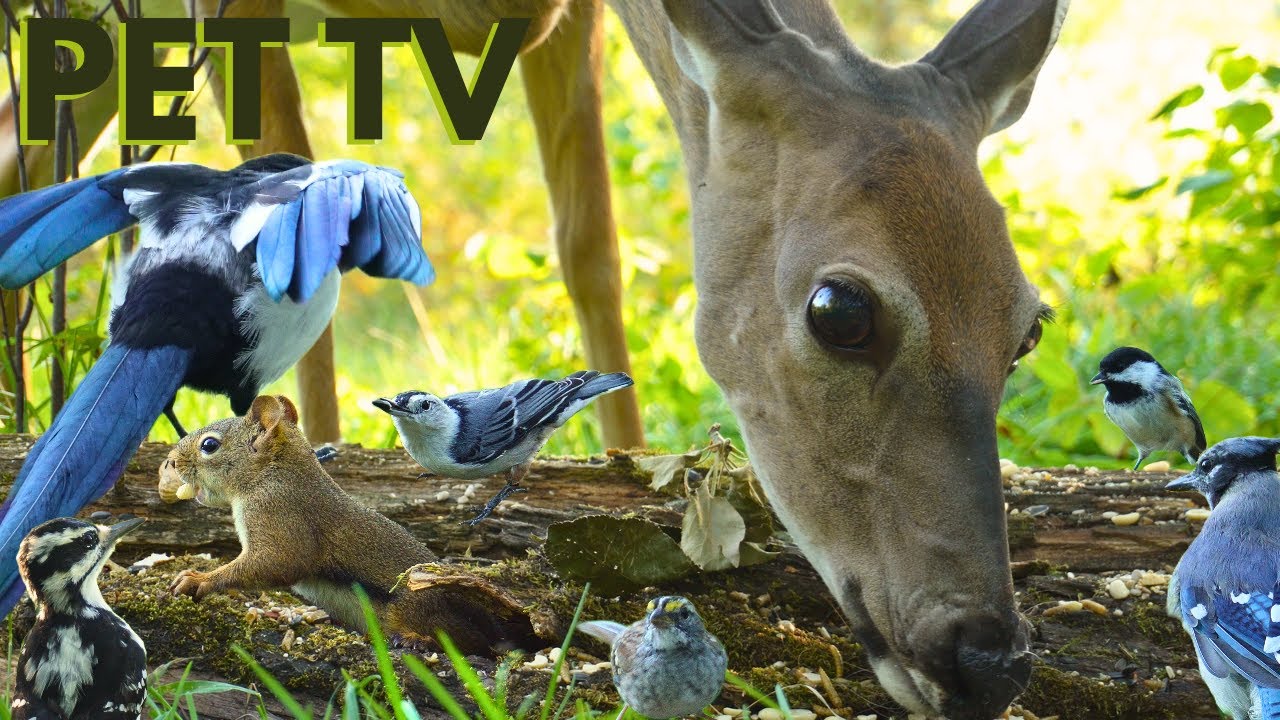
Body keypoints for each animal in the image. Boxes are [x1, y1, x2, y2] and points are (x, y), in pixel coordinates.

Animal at [158, 394, 535, 655]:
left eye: (209, 445)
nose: (171, 462)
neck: (272, 473)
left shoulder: (278, 514)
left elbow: (279, 562)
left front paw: (198, 579)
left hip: (419, 607)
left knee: (464, 642)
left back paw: (419, 640)